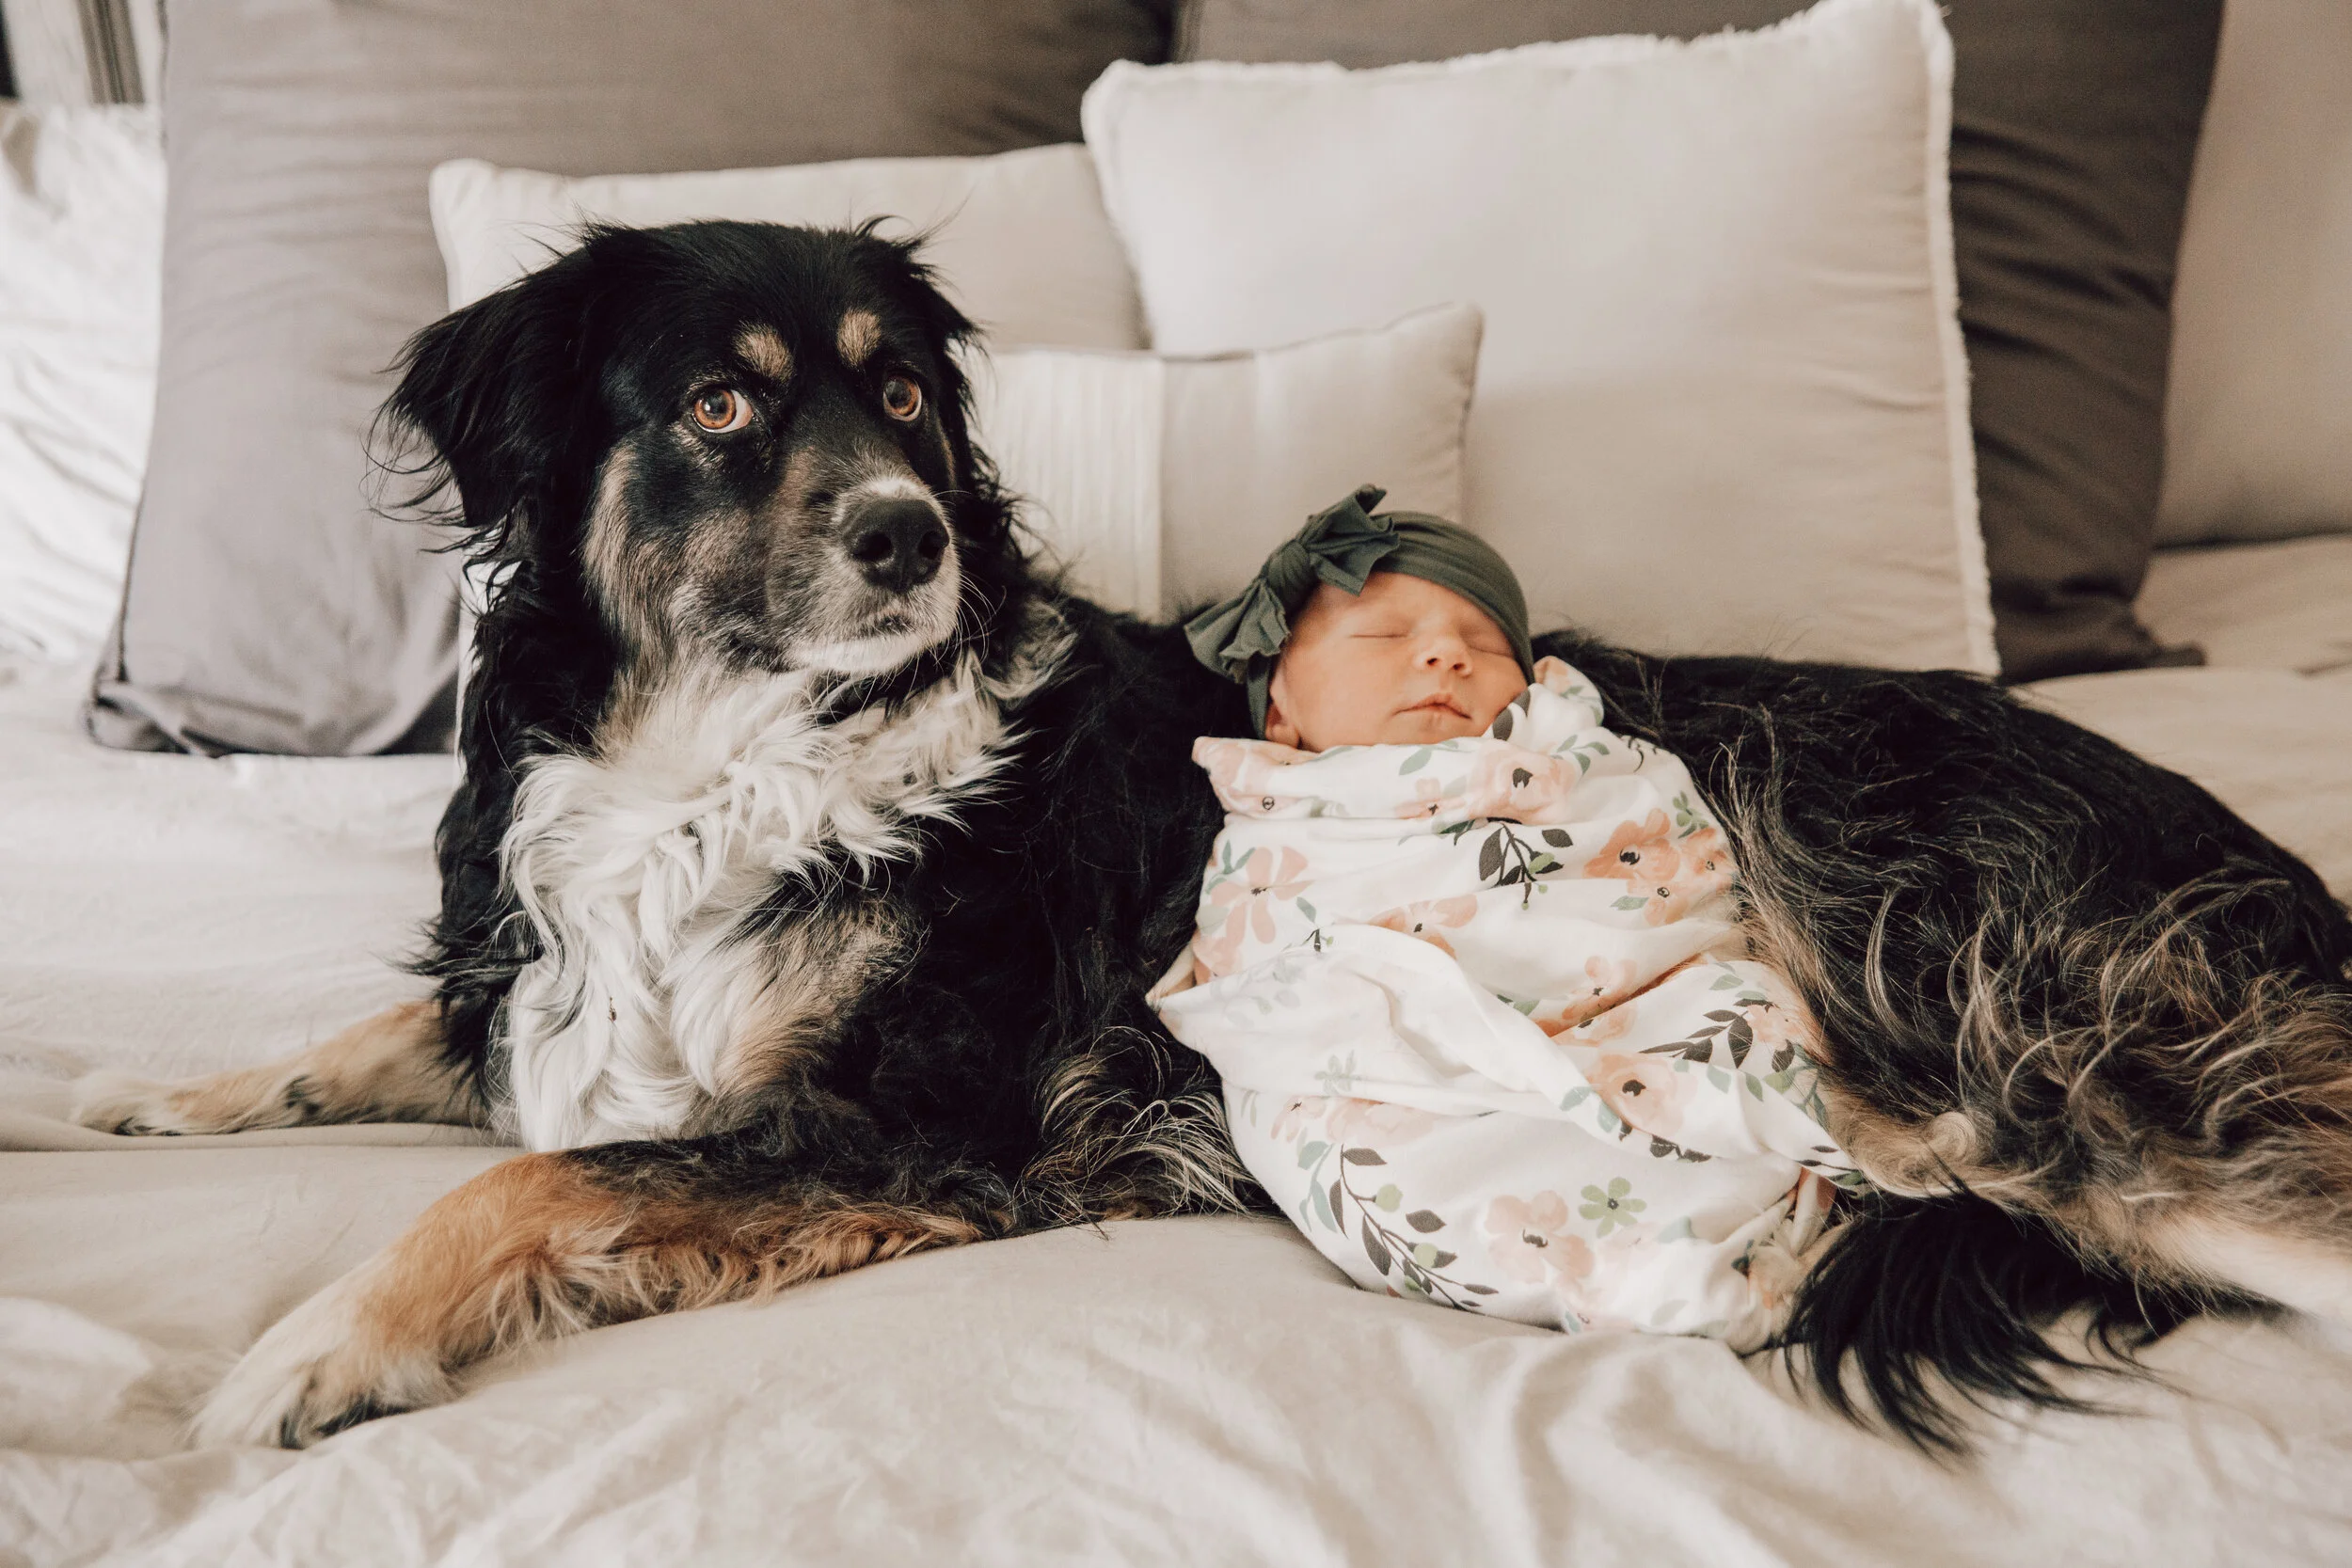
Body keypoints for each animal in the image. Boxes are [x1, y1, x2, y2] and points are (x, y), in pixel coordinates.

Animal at [74, 220, 2352, 1456]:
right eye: (720, 408)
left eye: (904, 401)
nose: (908, 538)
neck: (712, 756)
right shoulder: (542, 960)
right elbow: (415, 1044)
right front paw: (137, 1097)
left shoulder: (925, 1126)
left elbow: (530, 1174)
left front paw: (311, 1344)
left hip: (2053, 1079)